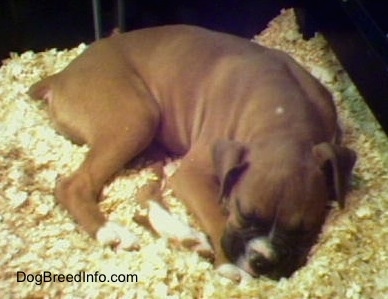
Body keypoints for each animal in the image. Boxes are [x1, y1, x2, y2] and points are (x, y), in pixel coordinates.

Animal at [27, 24, 356, 280]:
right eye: (244, 213)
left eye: (305, 229)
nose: (263, 260)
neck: (285, 118)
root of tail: (60, 76)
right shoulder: (193, 176)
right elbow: (216, 216)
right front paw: (229, 267)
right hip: (137, 119)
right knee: (73, 185)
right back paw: (111, 232)